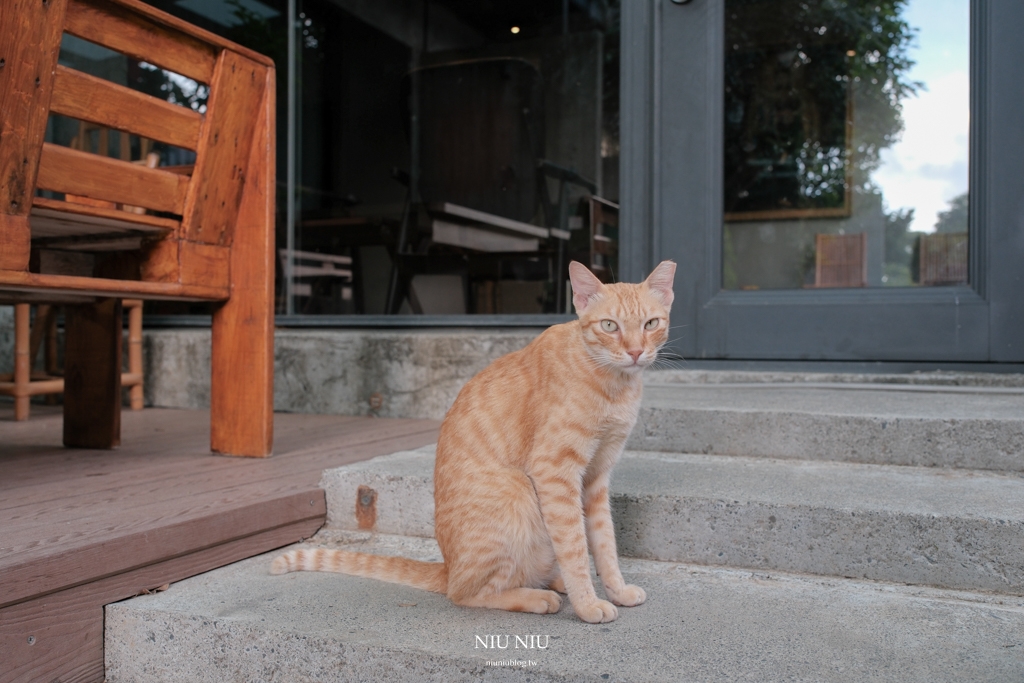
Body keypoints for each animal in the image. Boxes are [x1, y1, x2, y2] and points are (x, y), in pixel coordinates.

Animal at [270, 262, 679, 626]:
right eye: (610, 326)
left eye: (651, 324)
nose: (635, 352)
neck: (615, 387)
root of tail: (447, 567)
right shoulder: (555, 473)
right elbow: (576, 547)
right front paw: (588, 604)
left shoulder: (596, 477)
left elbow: (604, 544)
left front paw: (616, 591)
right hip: (518, 491)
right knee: (465, 593)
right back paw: (538, 596)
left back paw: (553, 582)